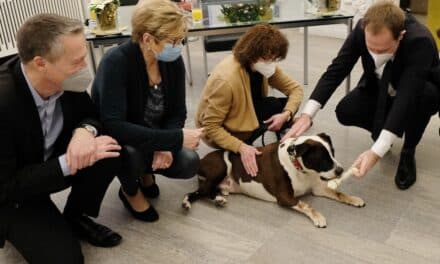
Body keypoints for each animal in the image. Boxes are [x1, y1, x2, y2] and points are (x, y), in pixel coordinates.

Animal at [182, 133, 364, 228]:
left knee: (206, 191)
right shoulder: (285, 197)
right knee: (199, 191)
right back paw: (187, 203)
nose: (341, 170)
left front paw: (354, 199)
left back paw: (219, 199)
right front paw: (318, 217)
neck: (299, 167)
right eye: (322, 159)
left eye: (332, 153)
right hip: (221, 165)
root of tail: (201, 160)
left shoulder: (317, 188)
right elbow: (306, 205)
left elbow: (338, 192)